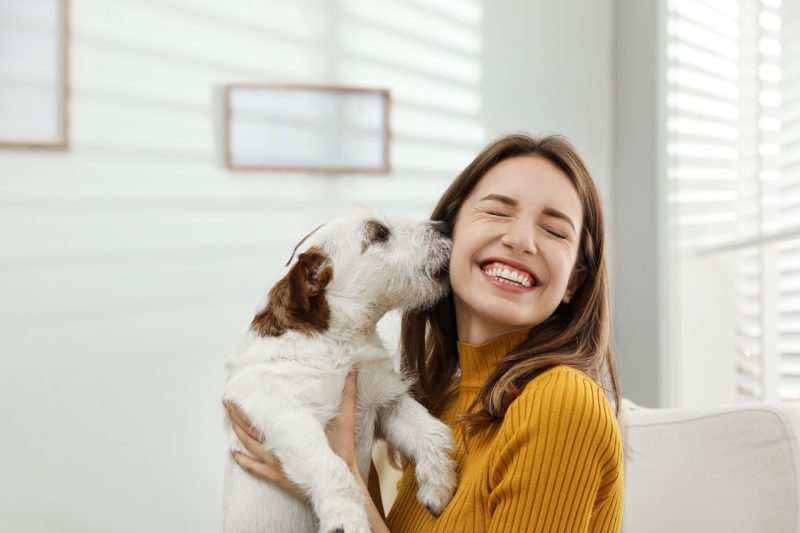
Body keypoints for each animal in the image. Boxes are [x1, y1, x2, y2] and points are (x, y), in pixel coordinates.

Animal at [222, 207, 460, 532]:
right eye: (380, 233)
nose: (446, 226)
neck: (339, 343)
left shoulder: (386, 402)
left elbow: (433, 433)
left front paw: (438, 485)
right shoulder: (285, 414)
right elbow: (332, 467)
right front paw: (346, 519)